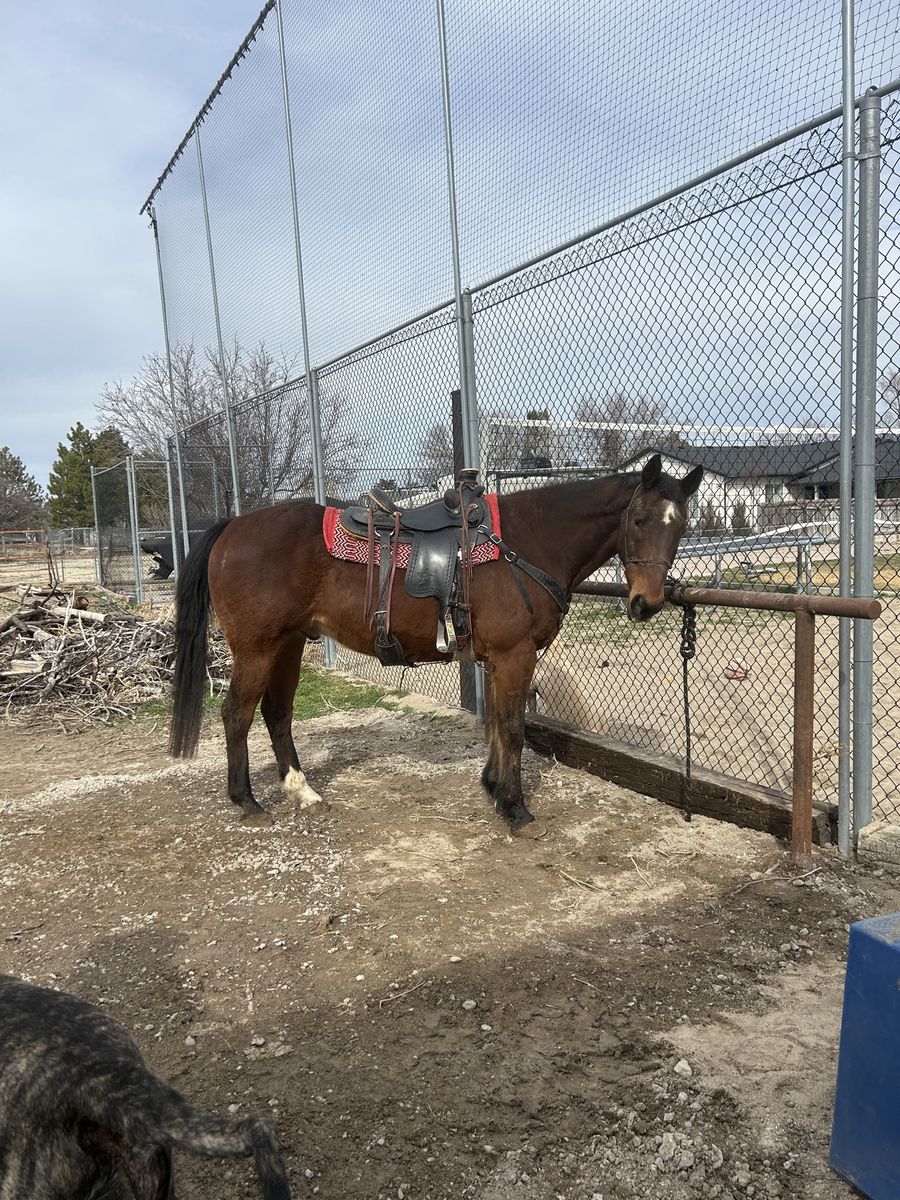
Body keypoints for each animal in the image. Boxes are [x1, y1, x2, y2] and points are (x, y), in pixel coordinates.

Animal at [169, 454, 702, 832]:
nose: (647, 604)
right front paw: (516, 808)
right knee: (236, 714)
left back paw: (302, 791)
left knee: (276, 713)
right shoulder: (514, 655)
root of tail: (233, 526)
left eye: (680, 524)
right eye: (639, 520)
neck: (526, 542)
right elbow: (513, 729)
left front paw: (494, 789)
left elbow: (496, 725)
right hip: (257, 648)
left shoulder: (496, 660)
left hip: (289, 644)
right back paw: (247, 801)